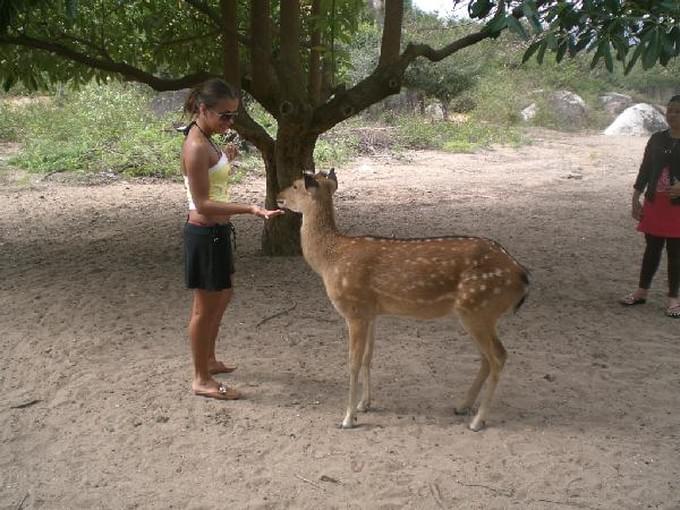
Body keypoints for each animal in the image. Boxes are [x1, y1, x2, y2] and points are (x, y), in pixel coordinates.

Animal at [276, 170, 532, 430]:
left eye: (296, 185)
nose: (278, 197)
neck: (329, 260)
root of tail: (522, 275)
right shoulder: (371, 312)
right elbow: (369, 356)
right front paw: (364, 404)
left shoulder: (354, 308)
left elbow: (353, 362)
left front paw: (348, 417)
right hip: (477, 313)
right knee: (486, 358)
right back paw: (462, 406)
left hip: (479, 308)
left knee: (498, 356)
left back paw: (478, 420)